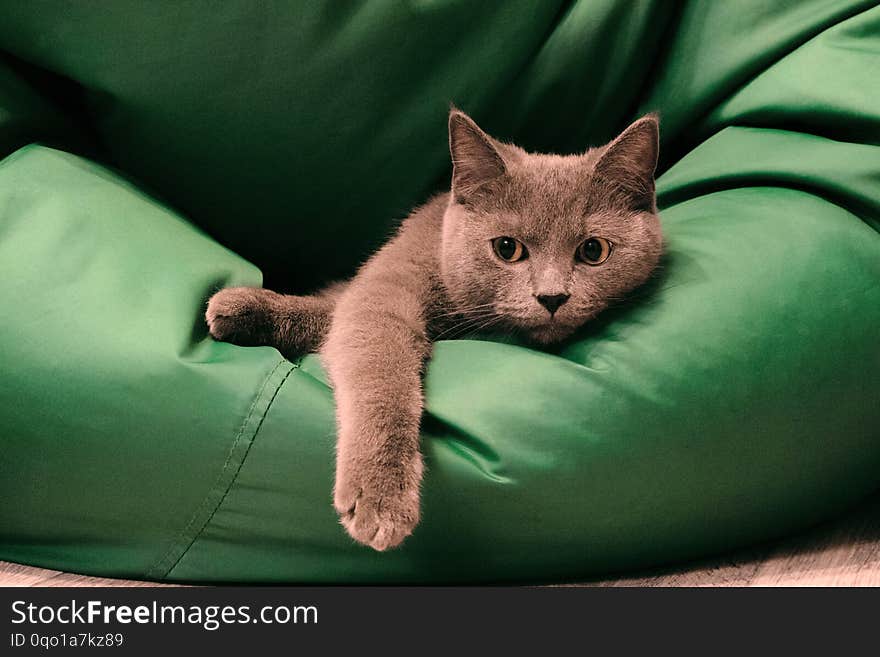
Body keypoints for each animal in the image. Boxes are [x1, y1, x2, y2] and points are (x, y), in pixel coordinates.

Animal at [205, 110, 660, 552]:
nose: (552, 297)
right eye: (507, 248)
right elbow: (378, 362)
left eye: (593, 250)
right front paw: (382, 496)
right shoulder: (387, 286)